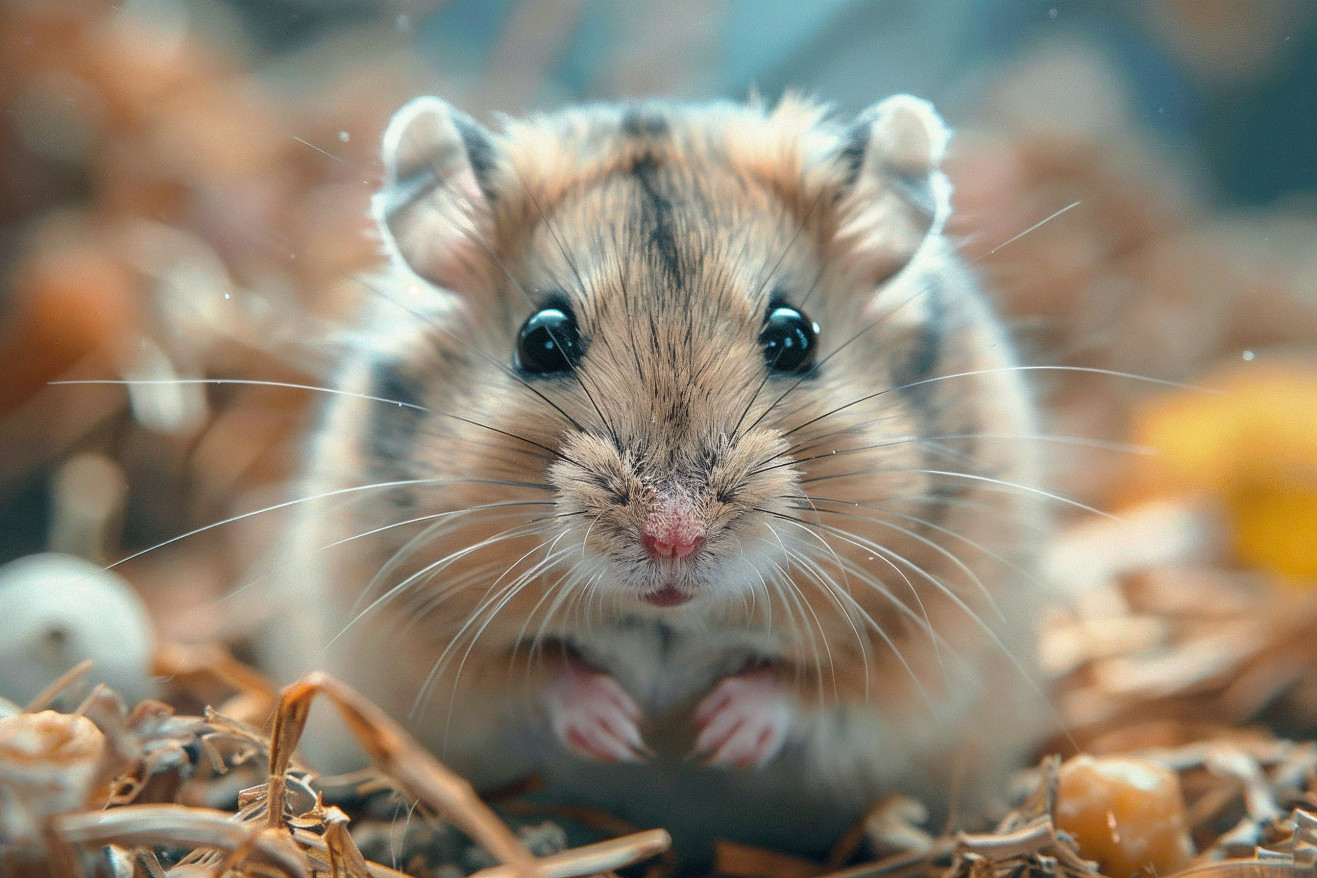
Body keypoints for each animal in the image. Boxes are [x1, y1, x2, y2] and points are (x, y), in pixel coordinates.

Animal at [264, 94, 1048, 858]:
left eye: (795, 336)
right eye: (540, 338)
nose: (673, 538)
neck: (670, 624)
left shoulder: (924, 643)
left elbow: (816, 688)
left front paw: (716, 736)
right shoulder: (420, 645)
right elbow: (530, 672)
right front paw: (623, 733)